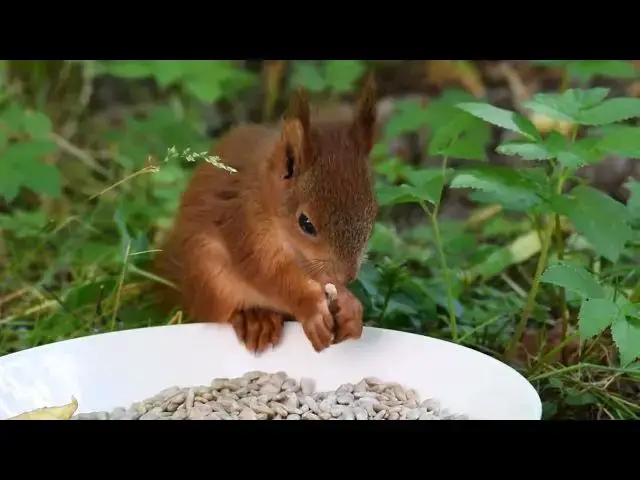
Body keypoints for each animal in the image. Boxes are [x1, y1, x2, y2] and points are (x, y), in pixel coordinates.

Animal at [153, 74, 378, 354]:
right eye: (306, 223)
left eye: (374, 213)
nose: (348, 276)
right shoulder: (243, 224)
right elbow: (268, 276)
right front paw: (311, 307)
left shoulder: (310, 261)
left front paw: (348, 306)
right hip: (208, 275)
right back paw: (255, 318)